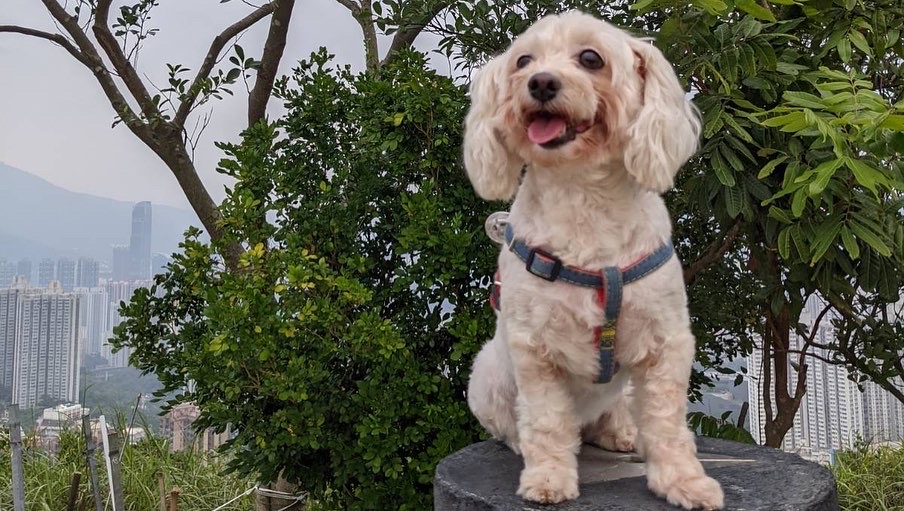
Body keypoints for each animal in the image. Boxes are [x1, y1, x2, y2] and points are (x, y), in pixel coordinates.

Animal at [462, 11, 724, 510]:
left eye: (590, 58)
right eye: (523, 61)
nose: (541, 82)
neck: (581, 194)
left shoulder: (665, 341)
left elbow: (666, 421)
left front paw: (683, 481)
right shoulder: (535, 350)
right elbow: (546, 419)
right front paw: (548, 477)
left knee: (616, 411)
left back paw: (621, 432)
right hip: (487, 375)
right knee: (518, 424)